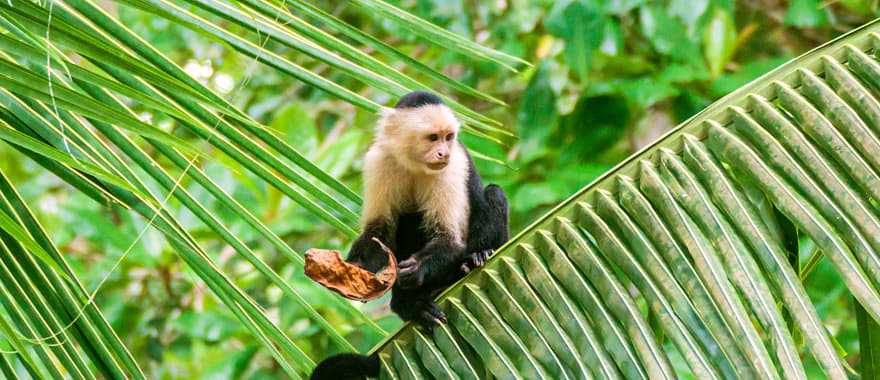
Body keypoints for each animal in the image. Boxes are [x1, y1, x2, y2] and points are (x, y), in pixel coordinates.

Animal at [312, 92, 512, 380]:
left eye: (448, 137)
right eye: (432, 137)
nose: (443, 152)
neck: (414, 163)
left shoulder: (452, 166)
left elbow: (449, 238)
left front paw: (415, 268)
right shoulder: (379, 161)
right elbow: (379, 233)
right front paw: (351, 271)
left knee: (493, 194)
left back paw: (474, 259)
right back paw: (408, 304)